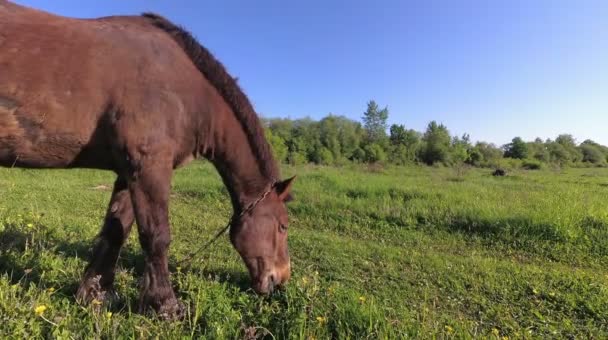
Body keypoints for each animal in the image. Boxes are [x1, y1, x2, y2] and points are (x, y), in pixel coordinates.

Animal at [0, 0, 294, 318]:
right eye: (283, 226)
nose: (281, 279)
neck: (186, 91)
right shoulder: (150, 166)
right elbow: (156, 236)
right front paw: (166, 305)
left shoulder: (128, 172)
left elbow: (116, 230)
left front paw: (95, 295)